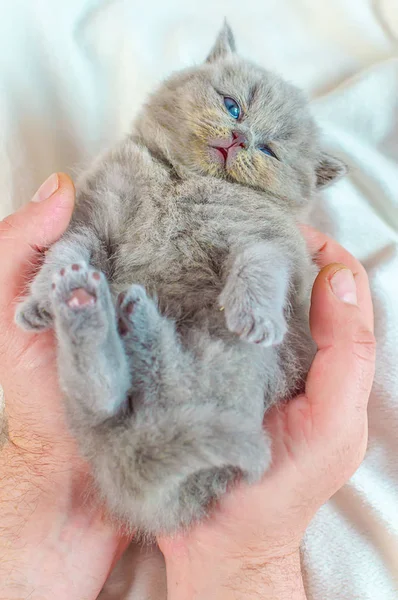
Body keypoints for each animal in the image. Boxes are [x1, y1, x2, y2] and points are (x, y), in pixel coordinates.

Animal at [15, 22, 346, 536]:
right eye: (233, 105)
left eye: (269, 150)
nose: (240, 137)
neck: (181, 180)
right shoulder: (90, 217)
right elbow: (66, 250)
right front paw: (43, 297)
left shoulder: (265, 238)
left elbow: (262, 266)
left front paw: (256, 317)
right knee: (105, 402)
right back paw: (86, 303)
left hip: (231, 364)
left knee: (159, 386)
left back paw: (134, 318)